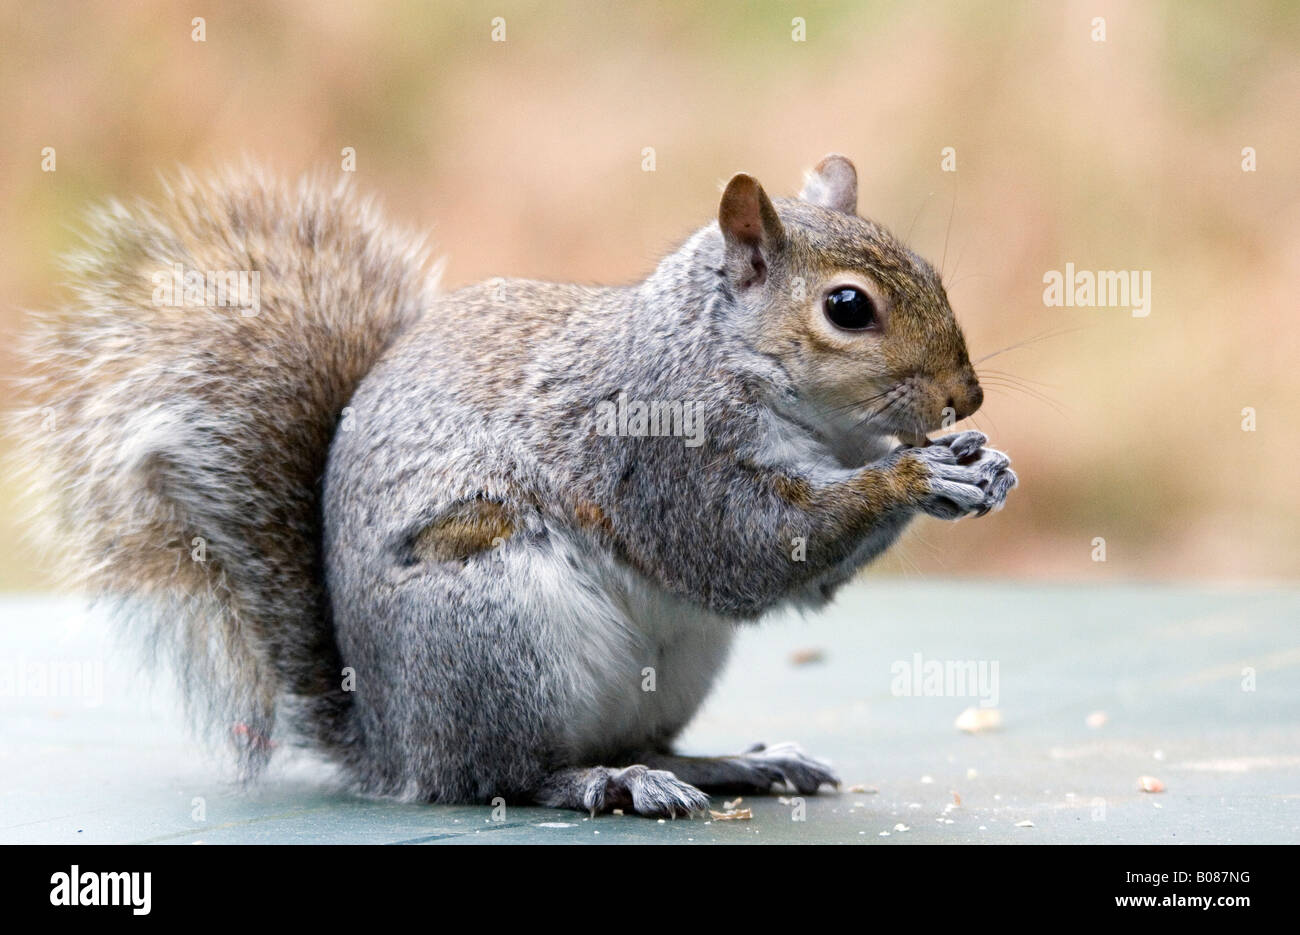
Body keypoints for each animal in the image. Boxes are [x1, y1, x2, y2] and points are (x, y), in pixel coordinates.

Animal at [22, 155, 1013, 821]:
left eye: (930, 271)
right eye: (848, 308)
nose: (967, 397)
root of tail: (394, 741)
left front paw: (979, 463)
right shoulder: (660, 447)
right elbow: (743, 548)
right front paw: (914, 471)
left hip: (672, 666)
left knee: (641, 740)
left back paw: (734, 764)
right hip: (495, 632)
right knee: (504, 776)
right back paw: (604, 781)